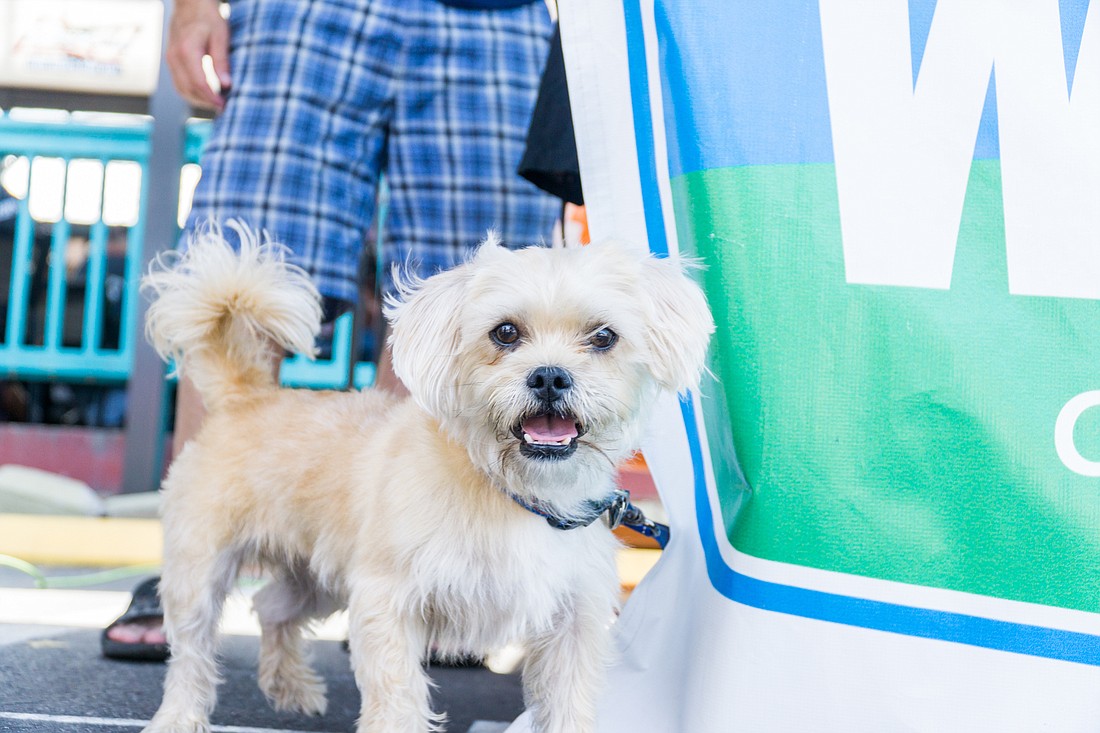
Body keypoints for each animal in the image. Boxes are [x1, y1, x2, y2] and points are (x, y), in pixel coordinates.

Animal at [141, 224, 712, 730]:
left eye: (604, 336)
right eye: (505, 332)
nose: (550, 376)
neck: (515, 490)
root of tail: (247, 395)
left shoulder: (573, 625)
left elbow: (568, 710)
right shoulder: (385, 602)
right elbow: (397, 702)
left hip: (318, 575)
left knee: (270, 606)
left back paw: (293, 688)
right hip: (200, 574)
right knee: (191, 654)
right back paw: (180, 717)